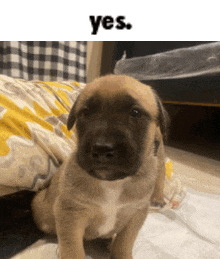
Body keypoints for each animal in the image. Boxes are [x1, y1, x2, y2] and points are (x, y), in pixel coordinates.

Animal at [31, 74, 168, 258]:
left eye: (135, 113)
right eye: (85, 113)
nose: (102, 148)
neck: (112, 182)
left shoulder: (135, 214)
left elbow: (124, 243)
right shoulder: (70, 214)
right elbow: (72, 248)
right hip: (42, 211)